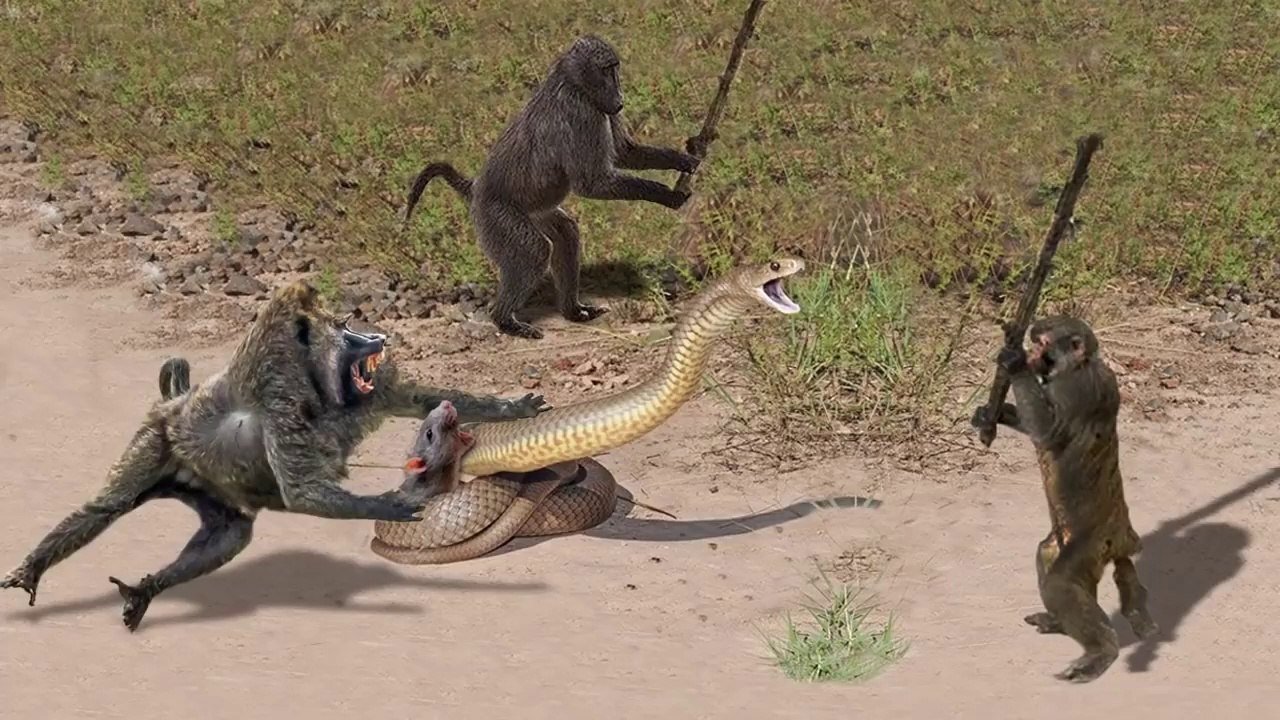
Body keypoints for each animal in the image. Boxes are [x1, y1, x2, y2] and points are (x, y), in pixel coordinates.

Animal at [1, 280, 548, 632]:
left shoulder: (370, 393)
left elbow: (416, 399)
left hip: (205, 486)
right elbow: (302, 489)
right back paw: (40, 564)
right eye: (344, 327)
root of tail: (171, 408)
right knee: (108, 506)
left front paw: (512, 407)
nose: (375, 334)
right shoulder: (280, 389)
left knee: (229, 535)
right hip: (155, 439)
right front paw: (389, 504)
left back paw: (147, 589)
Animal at [402, 34, 702, 340]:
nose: (620, 100)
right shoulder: (581, 112)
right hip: (497, 216)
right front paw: (670, 195)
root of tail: (474, 188)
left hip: (537, 213)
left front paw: (686, 158)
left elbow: (624, 153)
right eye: (607, 70)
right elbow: (592, 183)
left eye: (615, 68)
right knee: (533, 251)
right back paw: (505, 321)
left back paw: (573, 311)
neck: (570, 79)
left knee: (567, 234)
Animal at [970, 315, 1158, 683]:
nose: (1031, 356)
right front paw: (990, 414)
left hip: (1095, 540)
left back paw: (1102, 650)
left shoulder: (1074, 388)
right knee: (1048, 555)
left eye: (1042, 344)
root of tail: (1122, 536)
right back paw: (1061, 622)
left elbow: (1048, 431)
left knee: (1060, 582)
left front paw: (1013, 363)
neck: (1081, 364)